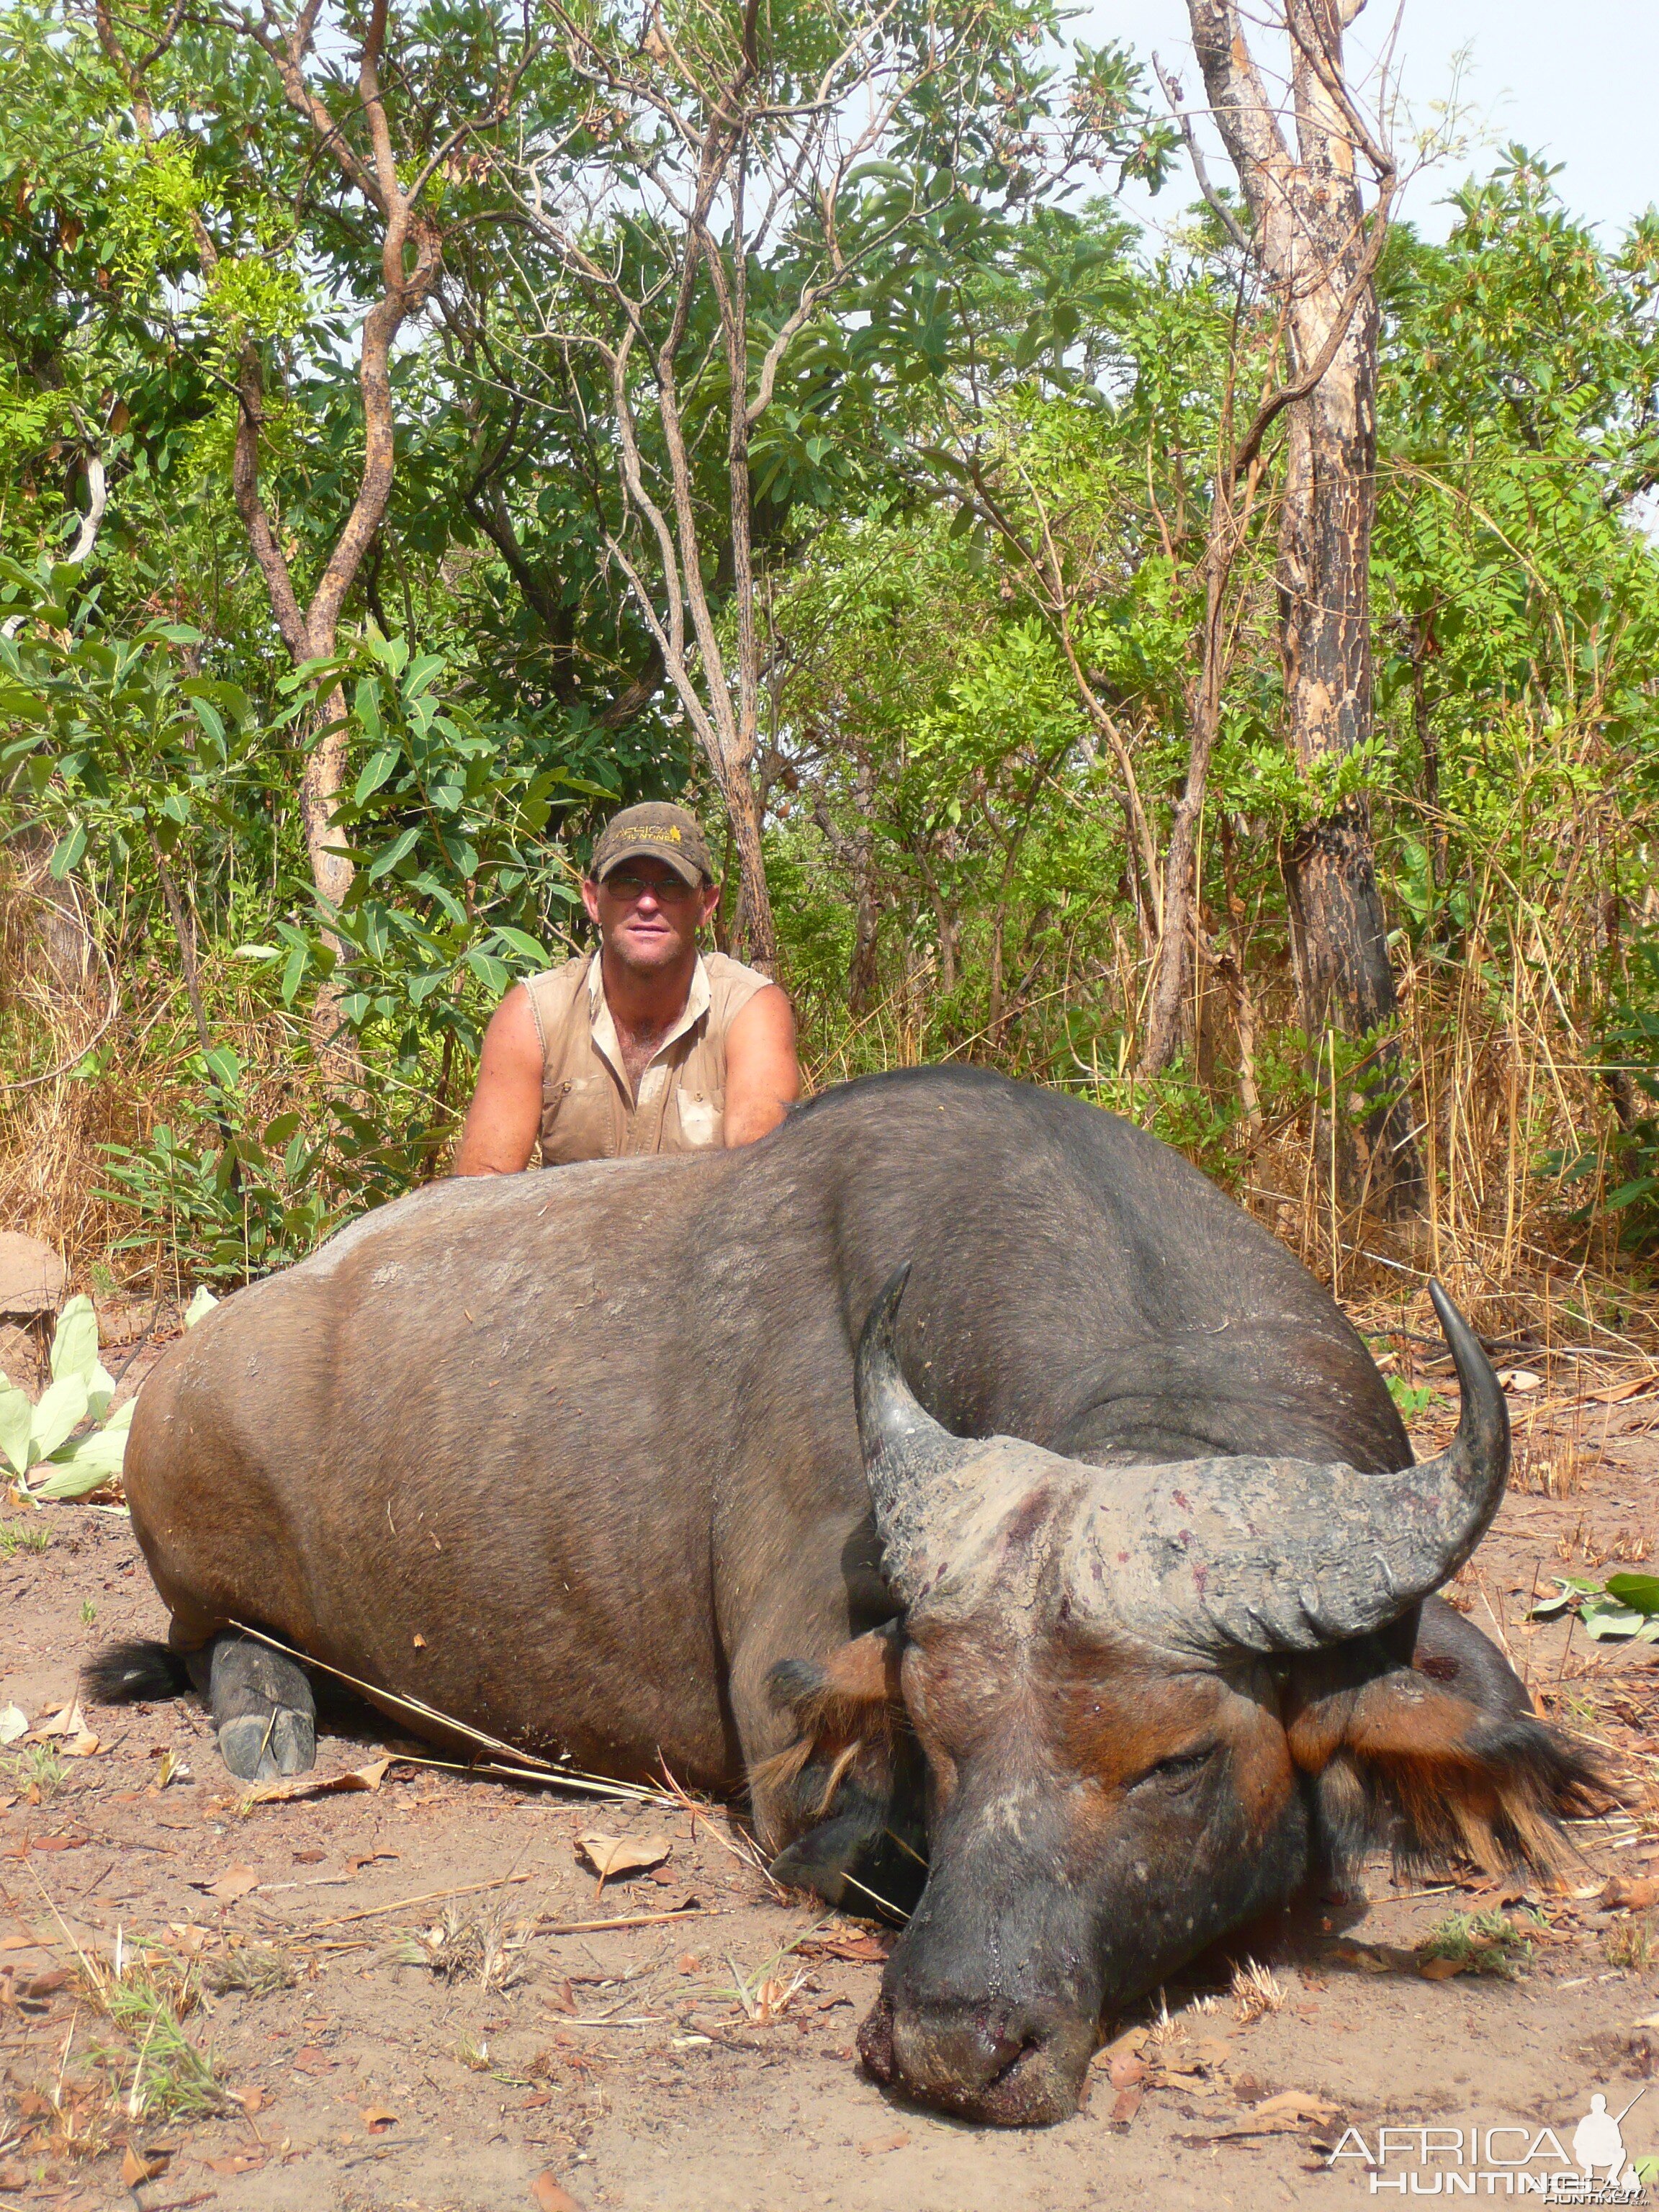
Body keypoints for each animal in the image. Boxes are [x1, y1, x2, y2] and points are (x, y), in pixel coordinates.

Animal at [88, 1070, 1601, 2123]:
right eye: (933, 1736)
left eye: (1173, 1760)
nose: (951, 2039)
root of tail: (203, 1351)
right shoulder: (797, 1773)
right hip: (197, 1550)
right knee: (212, 1639)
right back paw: (270, 1721)